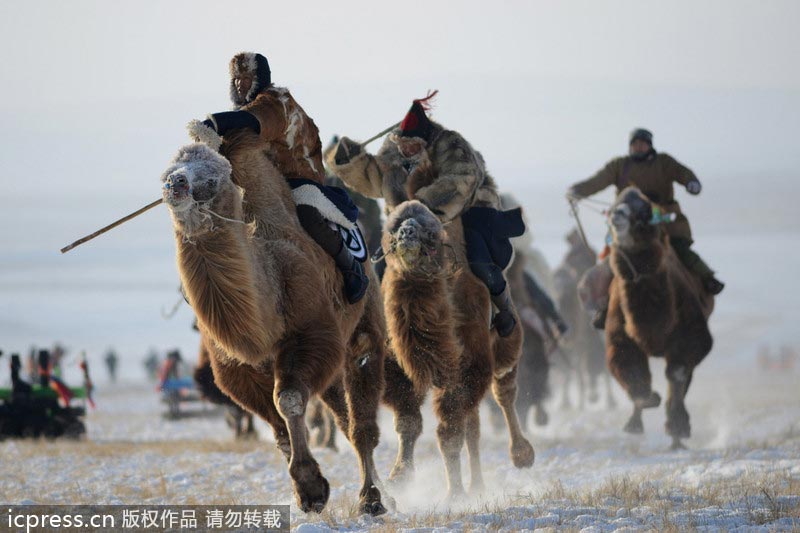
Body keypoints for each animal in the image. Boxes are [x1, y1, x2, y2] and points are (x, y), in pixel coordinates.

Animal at [159, 138, 388, 516]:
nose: (175, 184)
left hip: (362, 326)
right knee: (340, 415)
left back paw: (372, 499)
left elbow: (289, 399)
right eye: (168, 169)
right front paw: (306, 489)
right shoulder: (236, 370)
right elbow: (278, 427)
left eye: (213, 176)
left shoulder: (311, 335)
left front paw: (312, 488)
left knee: (361, 421)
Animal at [380, 197, 536, 496]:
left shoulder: (469, 363)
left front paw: (454, 494)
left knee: (504, 392)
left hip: (504, 342)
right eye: (393, 229)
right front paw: (399, 476)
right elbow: (408, 421)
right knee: (473, 424)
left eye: (430, 233)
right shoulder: (405, 369)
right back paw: (477, 484)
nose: (407, 233)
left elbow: (449, 430)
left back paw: (522, 454)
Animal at [604, 187, 716, 448]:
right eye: (614, 204)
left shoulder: (693, 336)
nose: (617, 214)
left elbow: (676, 374)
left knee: (684, 379)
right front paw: (639, 414)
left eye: (645, 210)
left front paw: (678, 427)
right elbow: (632, 371)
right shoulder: (619, 336)